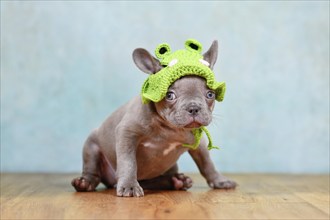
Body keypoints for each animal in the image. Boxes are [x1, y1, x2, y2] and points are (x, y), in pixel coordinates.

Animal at [71, 40, 237, 197]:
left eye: (210, 94)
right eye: (169, 95)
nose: (194, 108)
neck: (170, 128)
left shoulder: (199, 144)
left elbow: (207, 163)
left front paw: (220, 181)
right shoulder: (127, 133)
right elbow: (128, 162)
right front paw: (129, 186)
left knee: (152, 181)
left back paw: (177, 181)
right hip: (91, 146)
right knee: (93, 172)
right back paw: (84, 183)